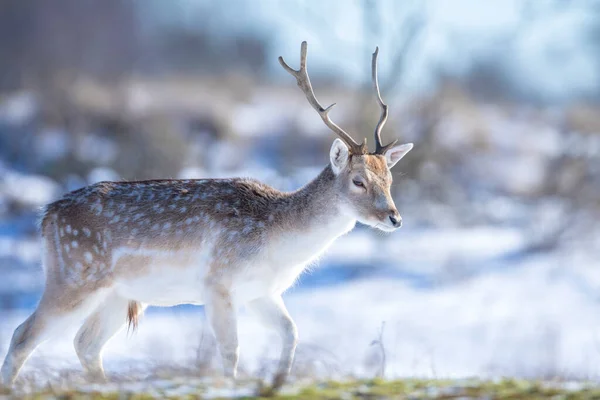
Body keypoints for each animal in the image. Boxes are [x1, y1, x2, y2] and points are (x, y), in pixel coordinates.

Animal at [1, 42, 412, 390]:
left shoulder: (261, 291)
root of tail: (45, 216)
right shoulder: (218, 280)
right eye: (358, 181)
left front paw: (278, 382)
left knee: (85, 344)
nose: (394, 218)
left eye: (390, 178)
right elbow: (230, 351)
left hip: (120, 294)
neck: (279, 244)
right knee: (23, 335)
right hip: (73, 275)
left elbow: (291, 332)